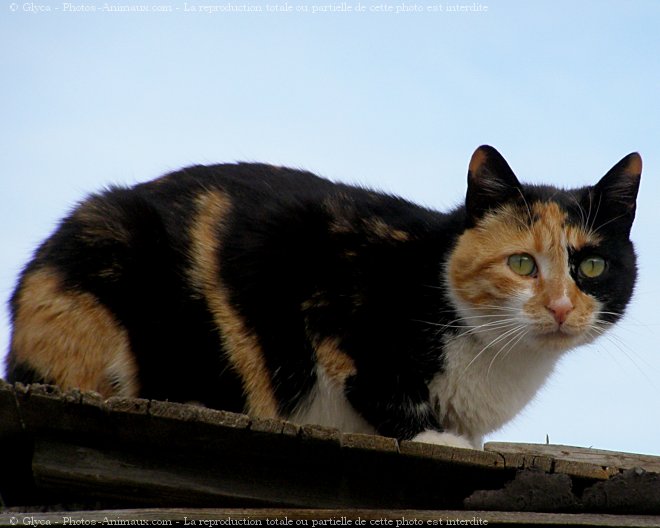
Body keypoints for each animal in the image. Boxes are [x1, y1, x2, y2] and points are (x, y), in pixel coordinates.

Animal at [2, 145, 640, 450]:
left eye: (590, 265)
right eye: (521, 263)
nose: (561, 307)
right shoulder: (330, 307)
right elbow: (379, 390)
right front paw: (437, 436)